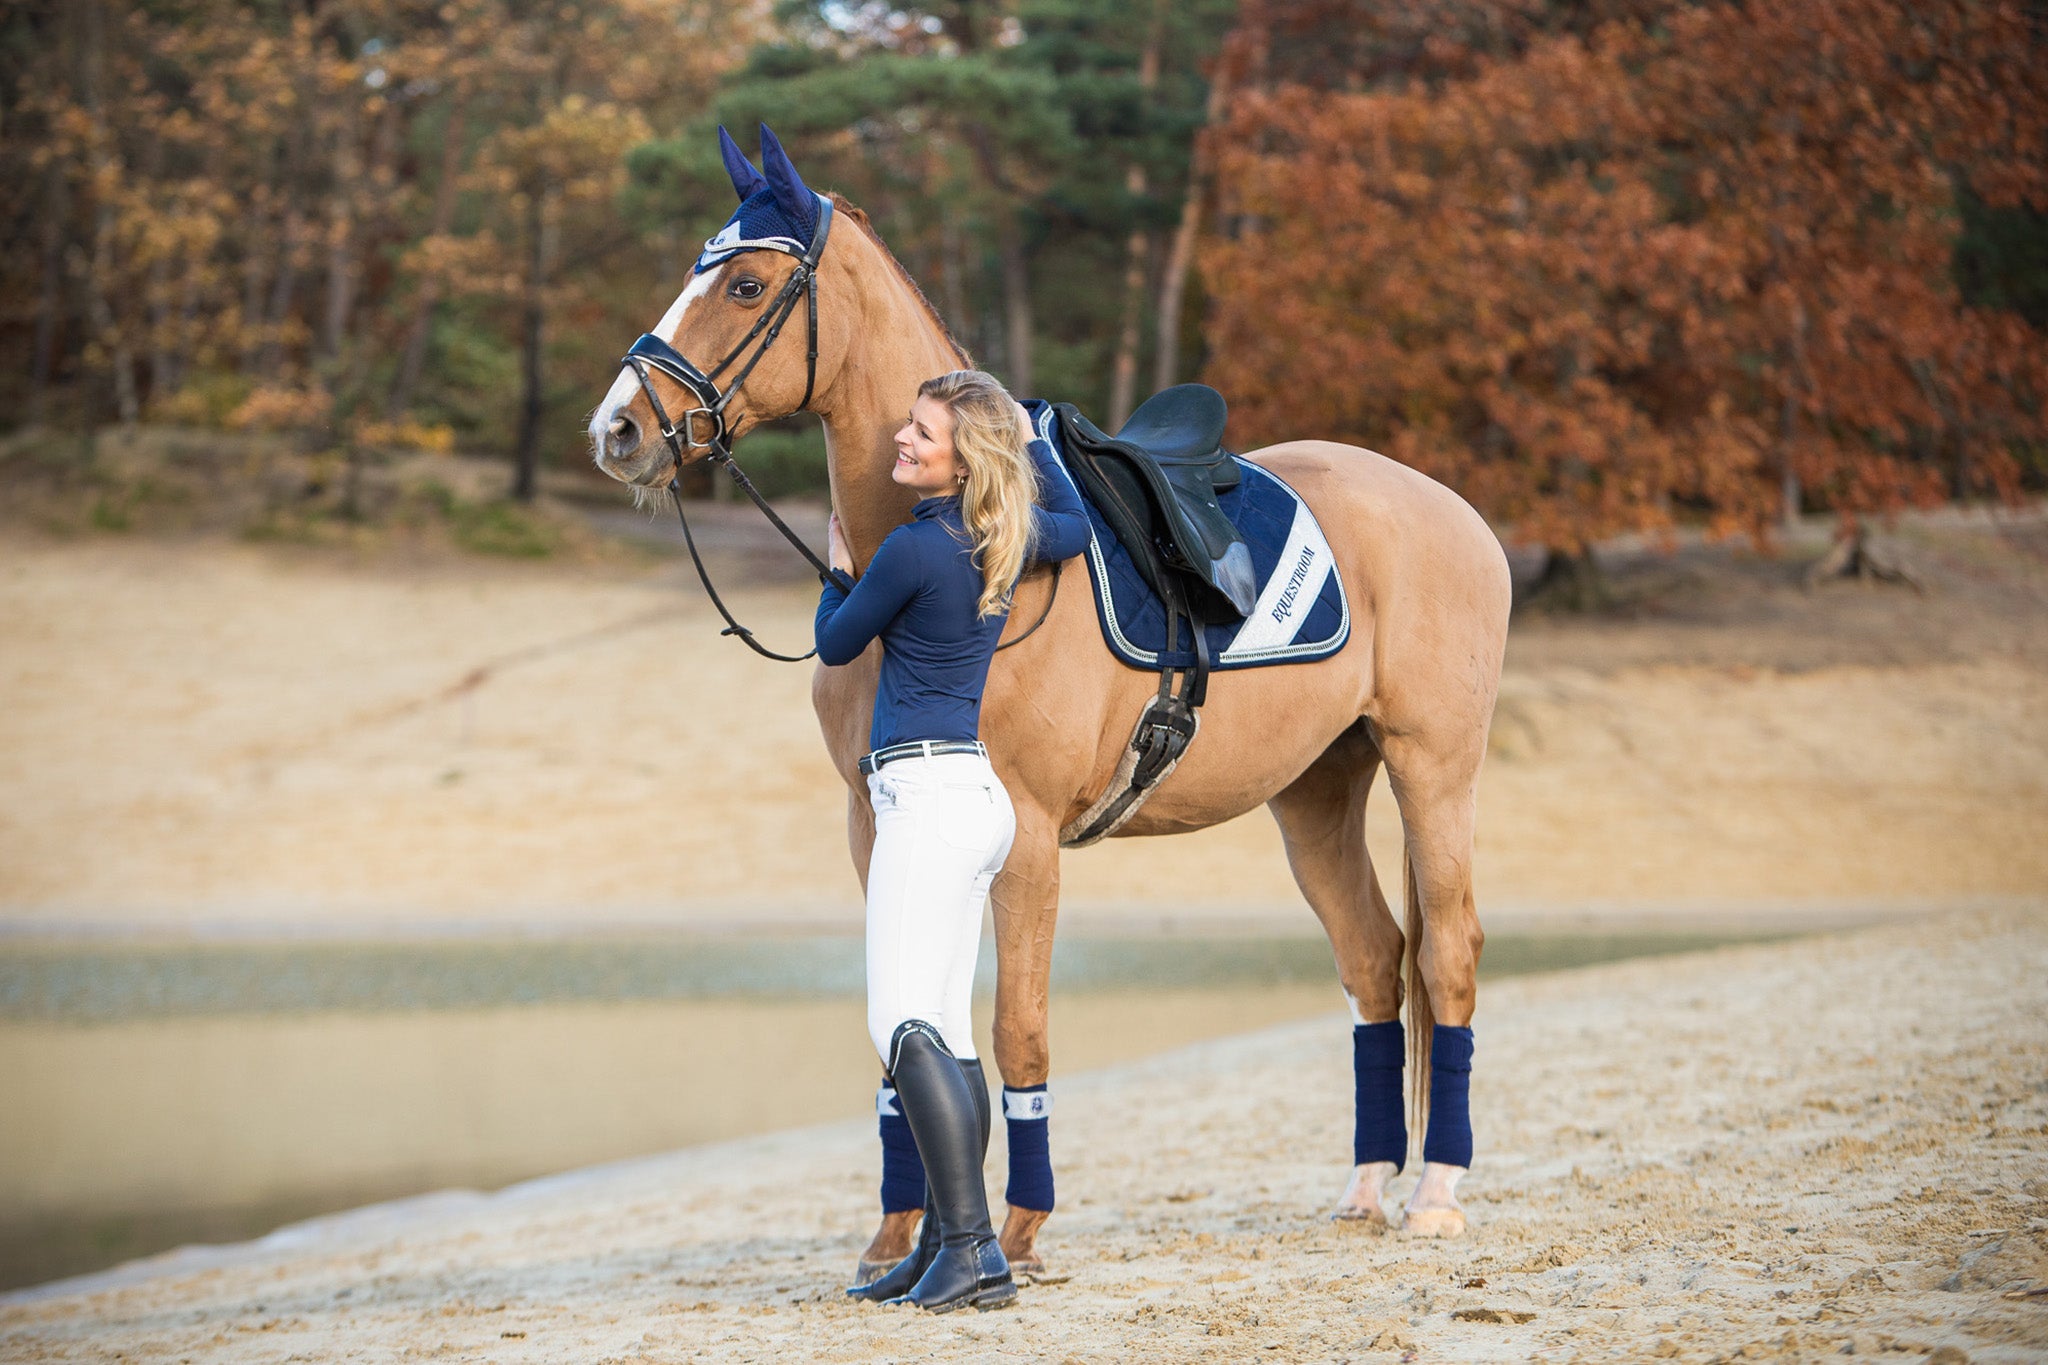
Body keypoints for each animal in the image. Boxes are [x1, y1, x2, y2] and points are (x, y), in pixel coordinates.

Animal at [588, 126, 1511, 1275]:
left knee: (1448, 953)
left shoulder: (1022, 836)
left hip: (1434, 769)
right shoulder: (876, 831)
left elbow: (1014, 1027)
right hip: (1314, 797)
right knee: (1375, 960)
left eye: (747, 281)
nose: (618, 429)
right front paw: (897, 1237)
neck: (967, 542)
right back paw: (1365, 1187)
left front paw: (1019, 1232)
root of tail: (1451, 510)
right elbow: (908, 1027)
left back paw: (1435, 1192)